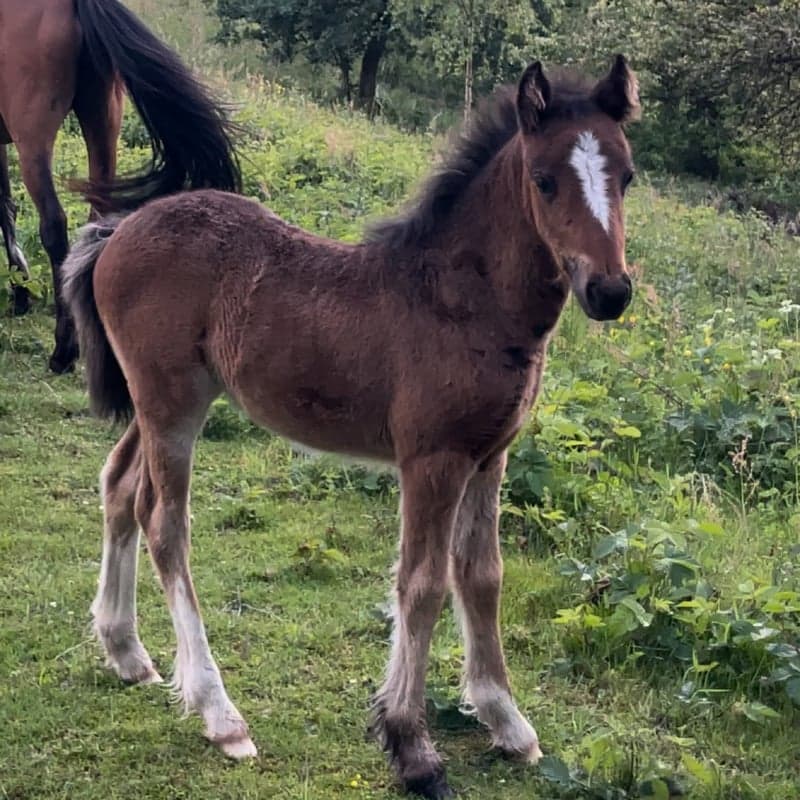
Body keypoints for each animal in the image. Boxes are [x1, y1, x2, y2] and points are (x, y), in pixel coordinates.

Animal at [0, 0, 241, 374]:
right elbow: (6, 208)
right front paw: (21, 294)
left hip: (34, 138)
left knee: (54, 225)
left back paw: (63, 350)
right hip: (103, 119)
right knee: (98, 219)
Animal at [61, 53, 636, 796]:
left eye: (627, 176)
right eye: (544, 180)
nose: (610, 291)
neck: (463, 302)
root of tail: (118, 231)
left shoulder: (491, 456)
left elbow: (482, 575)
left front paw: (507, 723)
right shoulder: (432, 460)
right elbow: (421, 585)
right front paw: (411, 745)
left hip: (162, 400)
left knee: (120, 488)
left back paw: (126, 651)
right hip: (172, 404)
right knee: (165, 525)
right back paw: (221, 715)